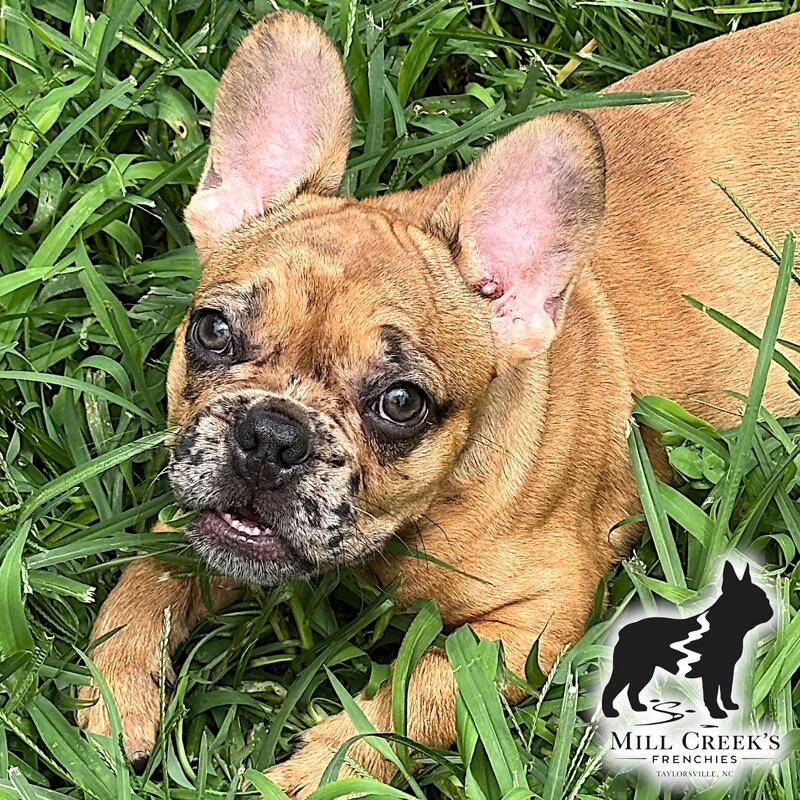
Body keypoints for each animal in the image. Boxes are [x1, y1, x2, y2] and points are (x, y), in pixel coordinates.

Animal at [602, 562, 773, 719]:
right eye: (754, 600)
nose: (770, 607)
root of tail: (625, 631)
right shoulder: (711, 673)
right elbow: (711, 695)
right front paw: (717, 713)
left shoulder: (726, 670)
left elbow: (725, 691)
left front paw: (729, 706)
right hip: (627, 669)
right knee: (610, 689)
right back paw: (610, 712)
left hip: (643, 671)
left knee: (632, 690)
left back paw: (637, 708)